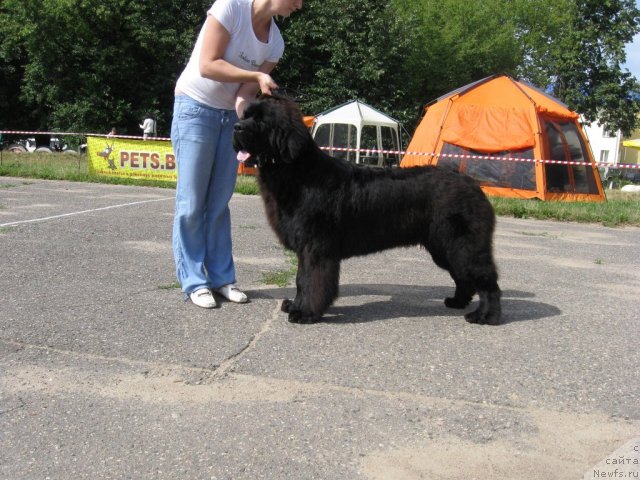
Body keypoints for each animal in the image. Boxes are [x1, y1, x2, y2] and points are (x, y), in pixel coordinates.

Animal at [232, 94, 502, 326]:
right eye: (245, 115)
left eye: (260, 120)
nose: (236, 127)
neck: (298, 171)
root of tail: (473, 185)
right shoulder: (305, 248)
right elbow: (301, 280)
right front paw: (295, 305)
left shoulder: (316, 247)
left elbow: (312, 281)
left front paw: (306, 312)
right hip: (443, 246)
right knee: (463, 277)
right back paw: (457, 302)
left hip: (462, 245)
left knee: (486, 281)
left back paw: (485, 315)